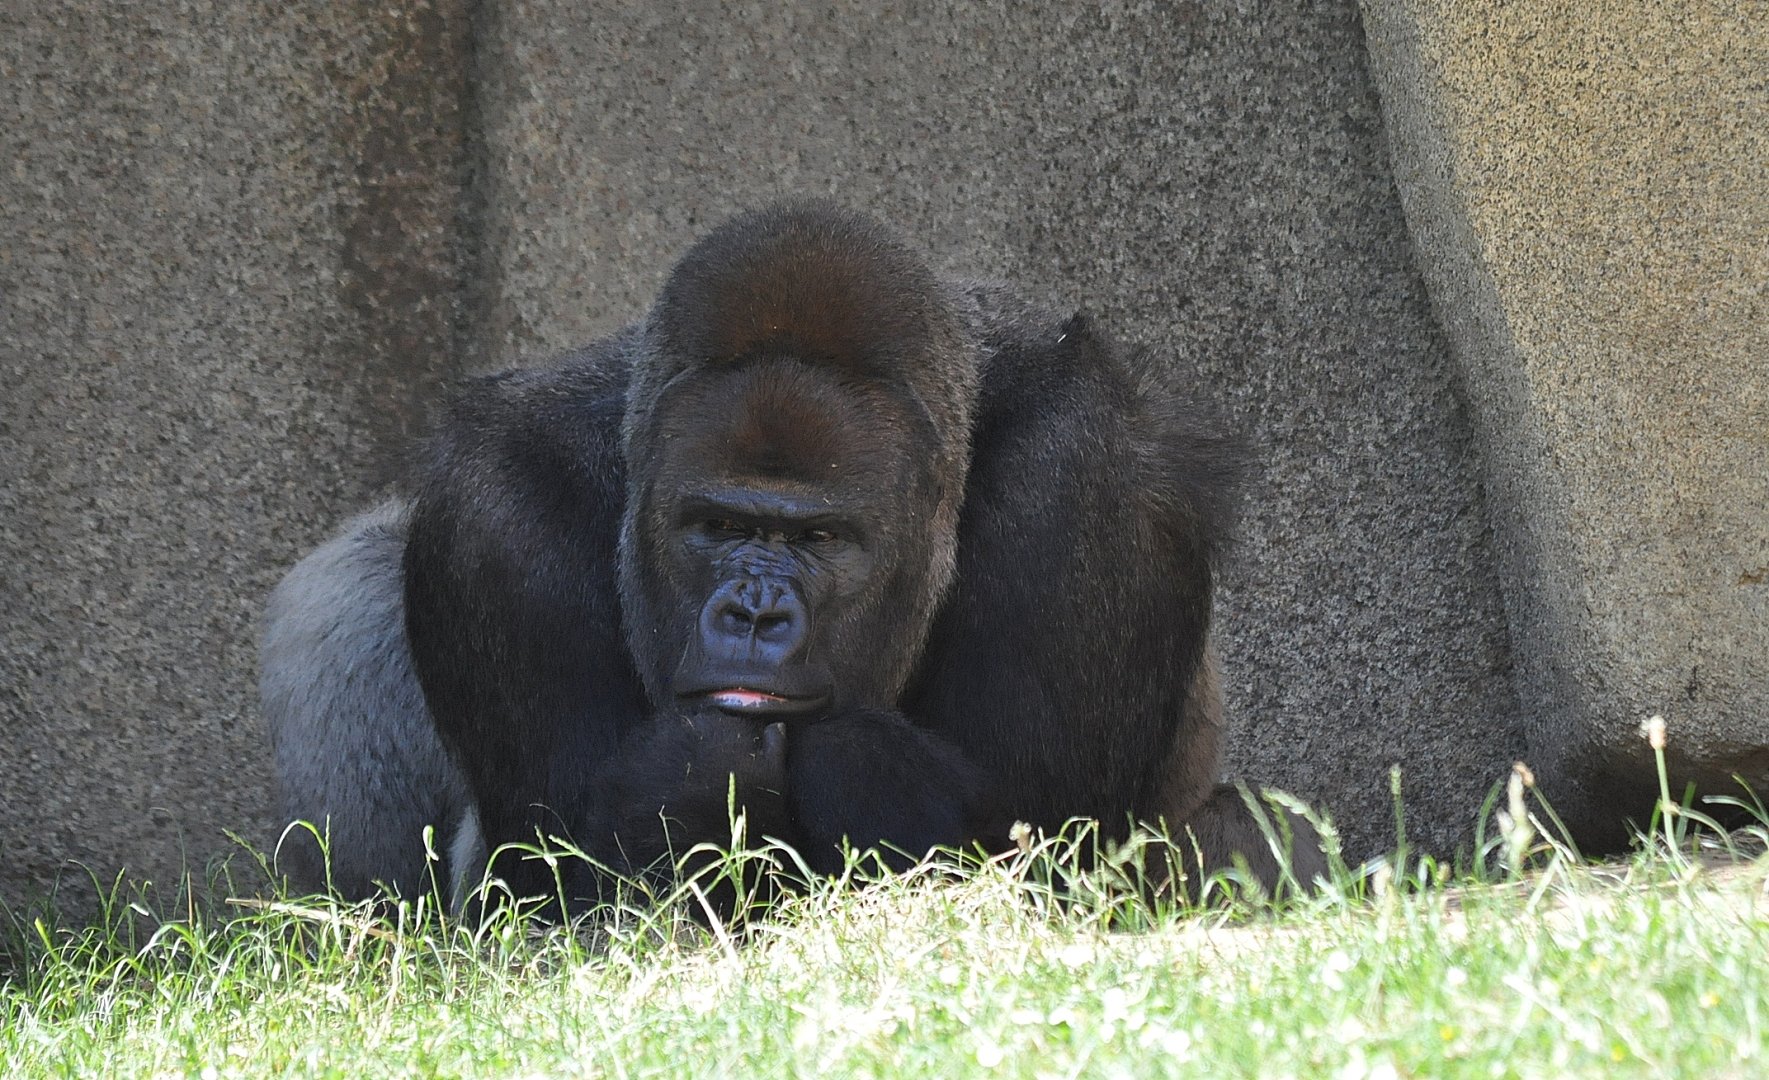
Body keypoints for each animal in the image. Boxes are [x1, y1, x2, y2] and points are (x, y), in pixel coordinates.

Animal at [256, 200, 1323, 912]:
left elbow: (1050, 852)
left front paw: (850, 762)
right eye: (717, 528)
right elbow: (555, 888)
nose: (754, 616)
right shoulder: (489, 517)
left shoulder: (1092, 472)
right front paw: (696, 769)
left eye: (818, 539)